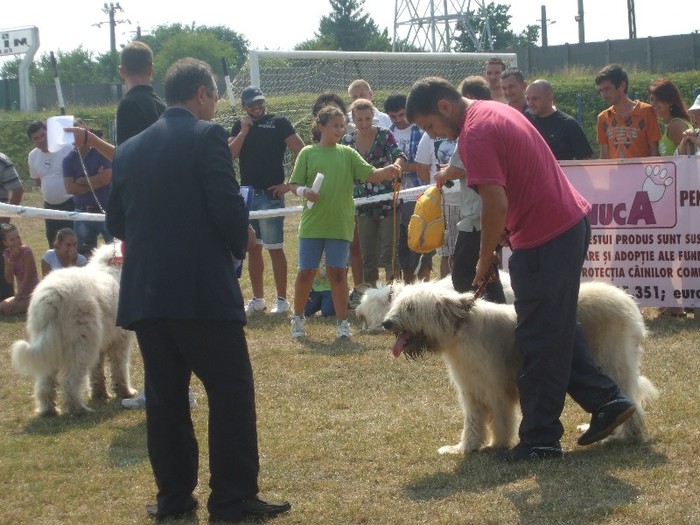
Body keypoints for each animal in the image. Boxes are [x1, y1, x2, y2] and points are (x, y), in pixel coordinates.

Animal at [10, 243, 136, 418]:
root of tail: (52, 297)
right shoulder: (120, 340)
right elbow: (119, 367)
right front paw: (125, 391)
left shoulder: (100, 344)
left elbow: (97, 372)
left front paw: (100, 394)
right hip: (81, 343)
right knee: (69, 380)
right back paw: (79, 409)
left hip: (50, 343)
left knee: (45, 381)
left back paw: (48, 410)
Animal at [380, 278, 660, 454]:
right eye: (398, 305)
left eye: (411, 307)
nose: (386, 323)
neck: (460, 330)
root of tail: (626, 301)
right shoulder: (470, 388)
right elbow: (473, 421)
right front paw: (464, 448)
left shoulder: (495, 386)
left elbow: (502, 417)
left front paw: (498, 444)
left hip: (610, 358)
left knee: (628, 397)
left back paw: (625, 435)